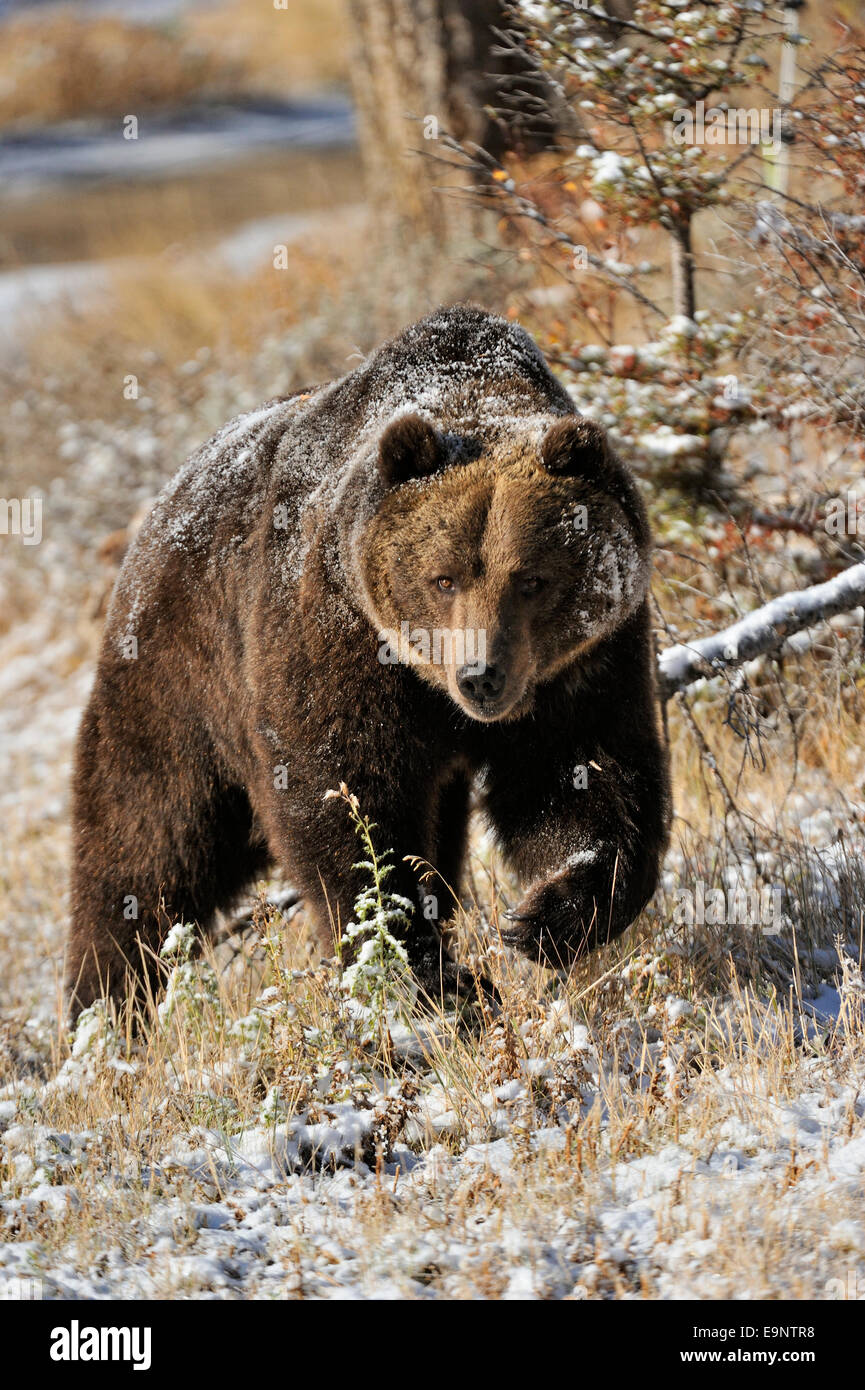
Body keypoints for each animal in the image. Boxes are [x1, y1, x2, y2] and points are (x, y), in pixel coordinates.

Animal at [67, 304, 671, 1017]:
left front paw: (542, 920)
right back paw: (103, 1009)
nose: (481, 677)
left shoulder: (584, 663)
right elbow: (349, 807)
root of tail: (152, 519)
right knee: (145, 839)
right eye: (444, 578)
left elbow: (584, 779)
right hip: (177, 683)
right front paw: (429, 974)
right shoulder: (335, 641)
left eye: (531, 579)